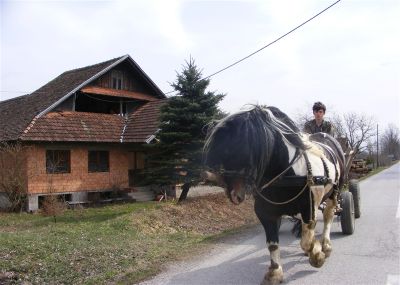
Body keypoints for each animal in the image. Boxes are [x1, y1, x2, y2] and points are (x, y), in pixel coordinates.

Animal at [203, 105, 344, 282]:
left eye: (237, 146)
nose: (233, 194)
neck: (286, 174)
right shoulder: (266, 212)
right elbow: (273, 243)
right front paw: (275, 272)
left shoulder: (309, 208)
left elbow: (307, 240)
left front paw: (317, 255)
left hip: (334, 193)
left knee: (328, 216)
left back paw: (326, 245)